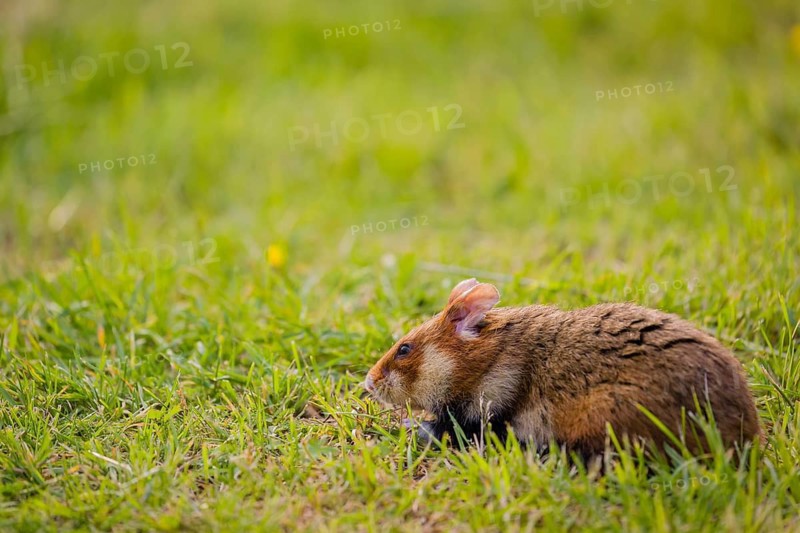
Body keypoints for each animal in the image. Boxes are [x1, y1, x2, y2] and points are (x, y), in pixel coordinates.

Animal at [364, 278, 762, 456]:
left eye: (404, 349)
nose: (367, 384)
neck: (490, 359)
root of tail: (745, 436)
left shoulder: (486, 413)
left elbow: (441, 428)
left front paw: (405, 426)